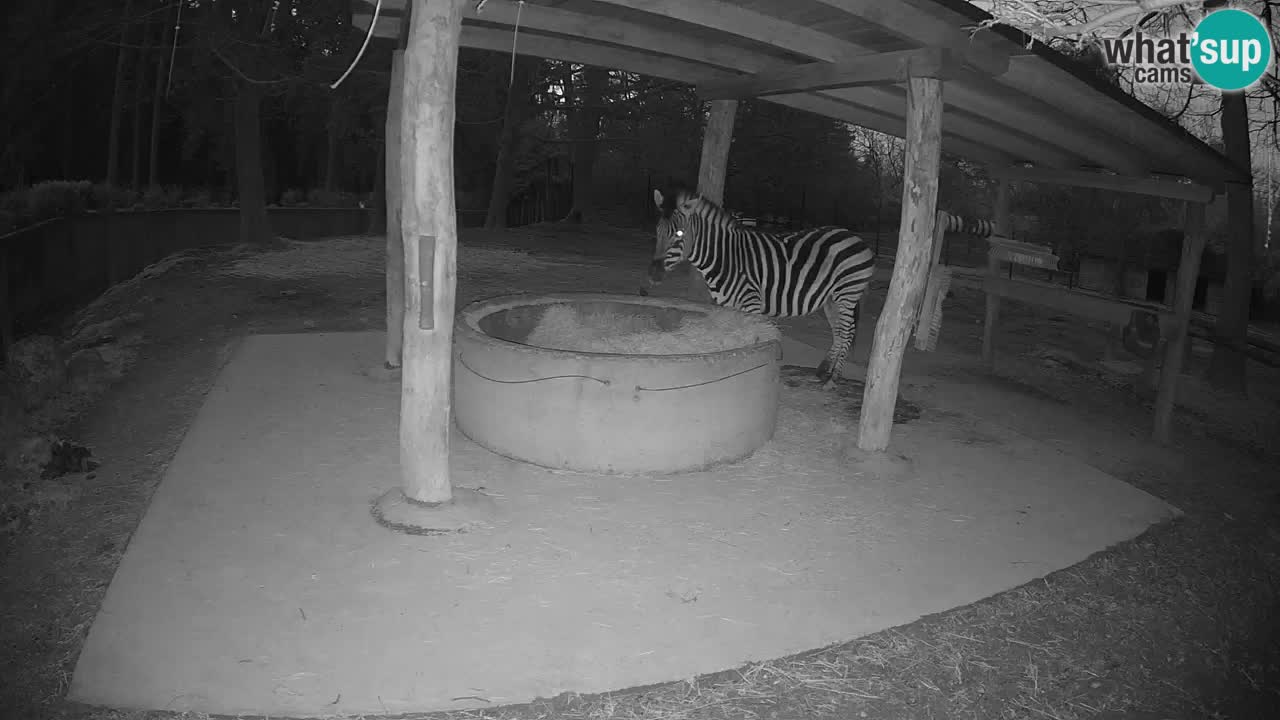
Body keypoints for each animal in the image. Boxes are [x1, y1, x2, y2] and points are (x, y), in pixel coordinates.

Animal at [646, 186, 876, 389]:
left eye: (679, 233)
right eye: (657, 230)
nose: (653, 274)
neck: (726, 258)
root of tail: (853, 235)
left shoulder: (751, 303)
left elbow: (754, 340)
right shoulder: (729, 306)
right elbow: (736, 339)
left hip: (847, 293)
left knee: (847, 332)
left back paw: (833, 379)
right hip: (831, 298)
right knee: (838, 331)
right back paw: (823, 371)